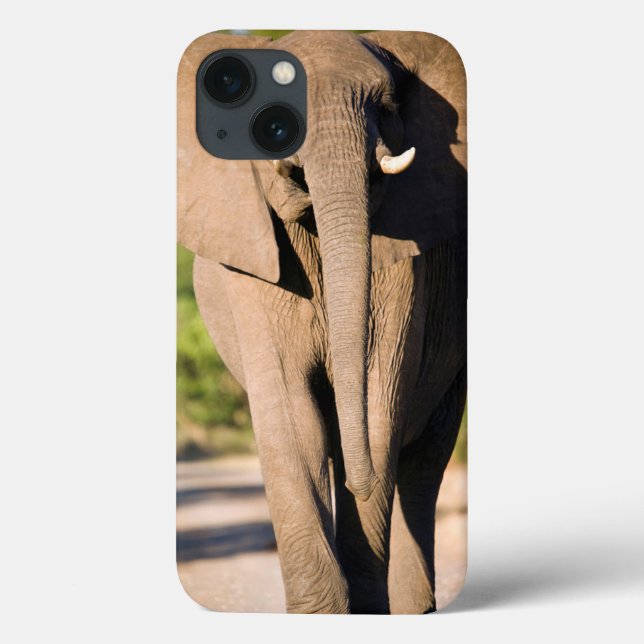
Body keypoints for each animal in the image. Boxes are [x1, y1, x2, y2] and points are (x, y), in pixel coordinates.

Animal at [178, 30, 467, 614]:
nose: (361, 483)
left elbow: (381, 402)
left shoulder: (405, 263)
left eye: (387, 107)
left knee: (424, 462)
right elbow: (292, 416)